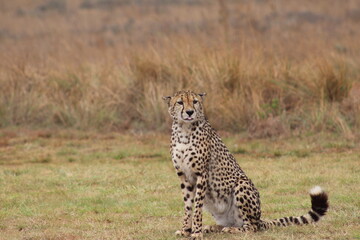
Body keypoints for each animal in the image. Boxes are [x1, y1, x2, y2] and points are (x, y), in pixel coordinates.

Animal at [163, 90, 330, 240]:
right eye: (180, 102)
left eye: (195, 101)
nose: (190, 112)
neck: (184, 130)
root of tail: (259, 218)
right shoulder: (184, 176)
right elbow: (188, 205)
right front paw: (185, 230)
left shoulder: (201, 174)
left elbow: (197, 206)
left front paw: (196, 232)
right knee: (232, 223)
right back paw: (214, 227)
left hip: (241, 185)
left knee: (251, 227)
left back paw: (232, 230)